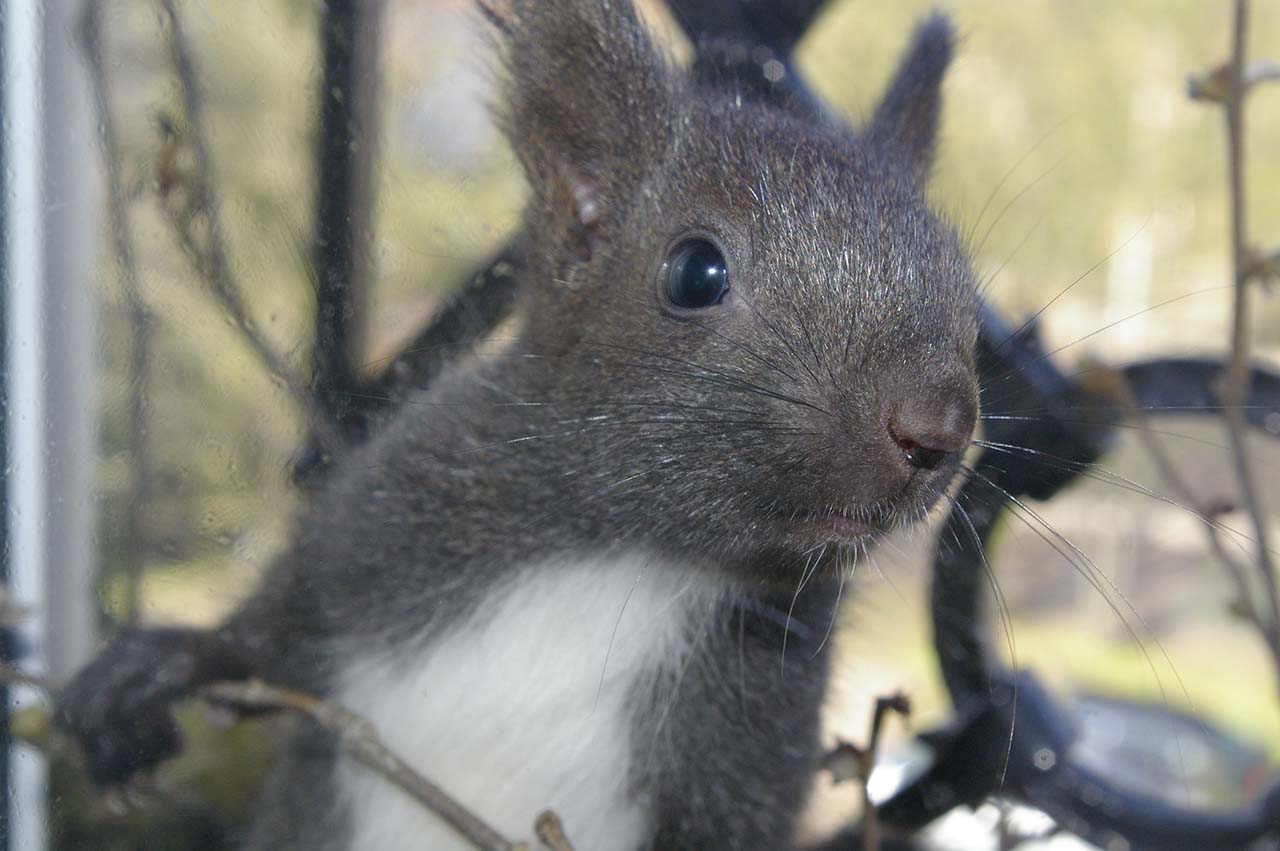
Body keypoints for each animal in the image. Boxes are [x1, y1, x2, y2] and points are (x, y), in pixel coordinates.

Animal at [57, 3, 977, 844]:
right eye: (696, 271)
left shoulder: (754, 748)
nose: (936, 427)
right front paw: (158, 670)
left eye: (960, 277)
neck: (628, 560)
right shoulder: (385, 511)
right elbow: (282, 620)